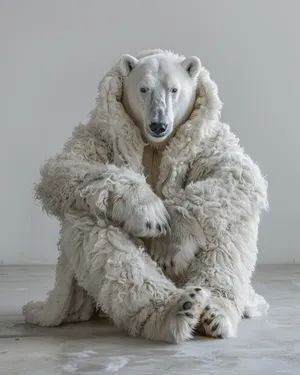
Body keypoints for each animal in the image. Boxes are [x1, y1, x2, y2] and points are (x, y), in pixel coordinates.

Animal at [22, 49, 268, 344]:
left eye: (174, 89)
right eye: (143, 88)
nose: (158, 124)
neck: (156, 144)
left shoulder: (207, 140)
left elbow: (240, 173)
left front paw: (170, 242)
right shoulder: (100, 134)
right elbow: (64, 167)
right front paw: (151, 216)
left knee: (228, 225)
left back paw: (213, 314)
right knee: (90, 222)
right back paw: (175, 311)